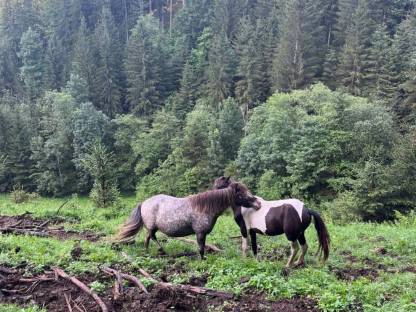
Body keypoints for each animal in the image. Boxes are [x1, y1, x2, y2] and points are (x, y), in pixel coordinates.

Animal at [116, 183, 260, 258]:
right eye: (241, 193)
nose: (258, 203)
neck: (205, 207)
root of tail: (144, 202)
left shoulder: (203, 234)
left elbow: (202, 247)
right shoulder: (200, 233)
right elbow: (201, 248)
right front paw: (202, 260)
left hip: (152, 228)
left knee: (147, 238)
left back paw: (147, 251)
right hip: (152, 227)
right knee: (151, 237)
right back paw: (161, 250)